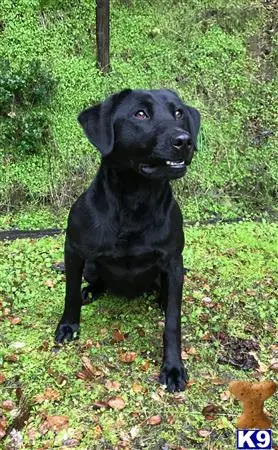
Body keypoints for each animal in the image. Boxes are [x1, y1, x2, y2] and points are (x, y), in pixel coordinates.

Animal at [56, 89, 200, 392]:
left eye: (179, 113)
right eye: (140, 114)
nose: (184, 140)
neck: (136, 199)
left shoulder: (173, 261)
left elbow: (173, 322)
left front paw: (173, 368)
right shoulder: (73, 250)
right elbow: (70, 293)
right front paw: (68, 326)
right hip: (91, 266)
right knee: (94, 280)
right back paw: (92, 290)